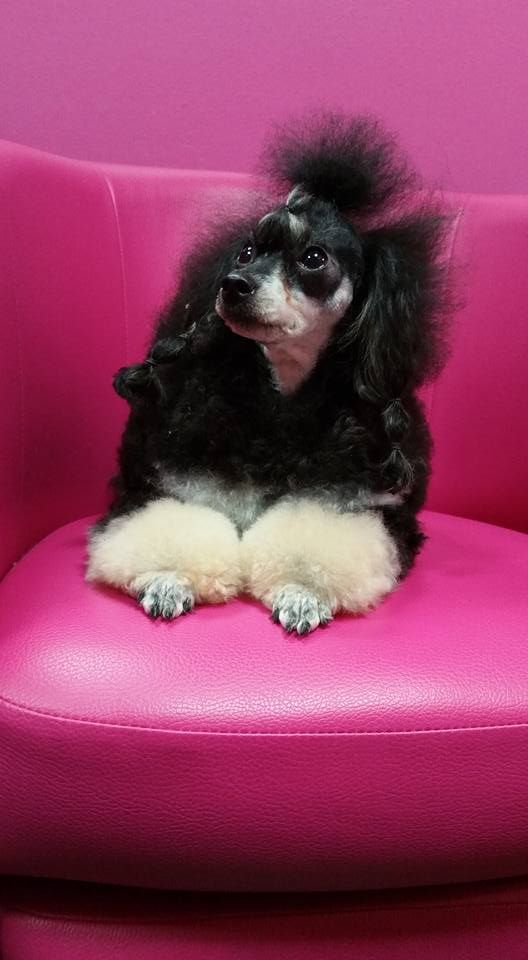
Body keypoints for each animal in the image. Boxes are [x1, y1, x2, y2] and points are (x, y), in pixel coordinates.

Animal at [86, 114, 450, 635]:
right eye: (246, 253)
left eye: (313, 258)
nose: (232, 285)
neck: (279, 403)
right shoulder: (166, 486)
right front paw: (169, 577)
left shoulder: (369, 509)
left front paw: (302, 591)